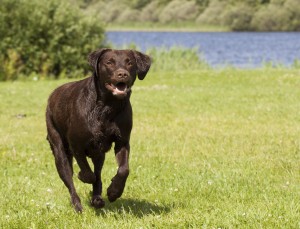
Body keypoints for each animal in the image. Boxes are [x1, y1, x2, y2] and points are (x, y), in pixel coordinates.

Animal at [46, 48, 151, 211]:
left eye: (129, 63)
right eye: (109, 62)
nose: (122, 74)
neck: (108, 107)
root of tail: (52, 95)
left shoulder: (122, 141)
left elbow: (123, 169)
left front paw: (114, 191)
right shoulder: (76, 144)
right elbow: (87, 171)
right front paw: (83, 176)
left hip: (99, 154)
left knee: (98, 173)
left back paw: (97, 199)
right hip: (59, 149)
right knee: (70, 181)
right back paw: (78, 205)